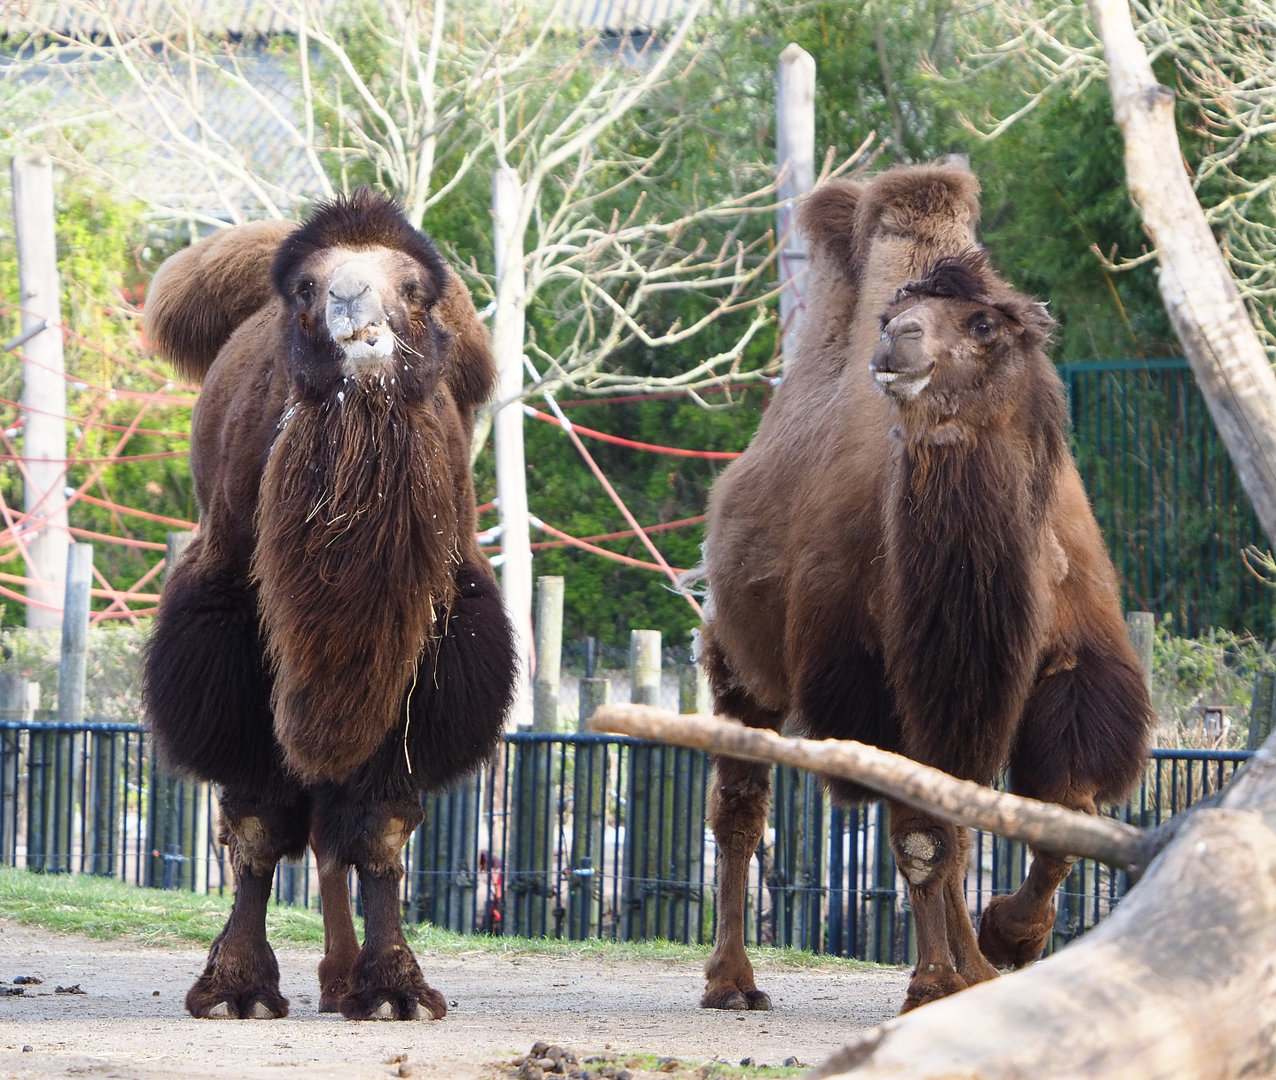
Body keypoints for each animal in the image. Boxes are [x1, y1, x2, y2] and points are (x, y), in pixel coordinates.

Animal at [142, 189, 516, 1020]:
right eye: (308, 288)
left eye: (413, 289)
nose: (356, 315)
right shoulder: (235, 639)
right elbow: (256, 820)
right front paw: (237, 989)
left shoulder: (428, 651)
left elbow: (379, 826)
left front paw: (394, 989)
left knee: (331, 826)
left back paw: (344, 979)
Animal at [696, 163, 1154, 1014]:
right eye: (893, 313)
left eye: (984, 325)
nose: (896, 341)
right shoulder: (879, 685)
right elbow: (918, 835)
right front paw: (935, 980)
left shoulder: (1057, 670)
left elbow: (1061, 815)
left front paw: (1010, 938)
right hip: (742, 665)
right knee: (740, 808)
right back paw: (733, 981)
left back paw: (978, 967)